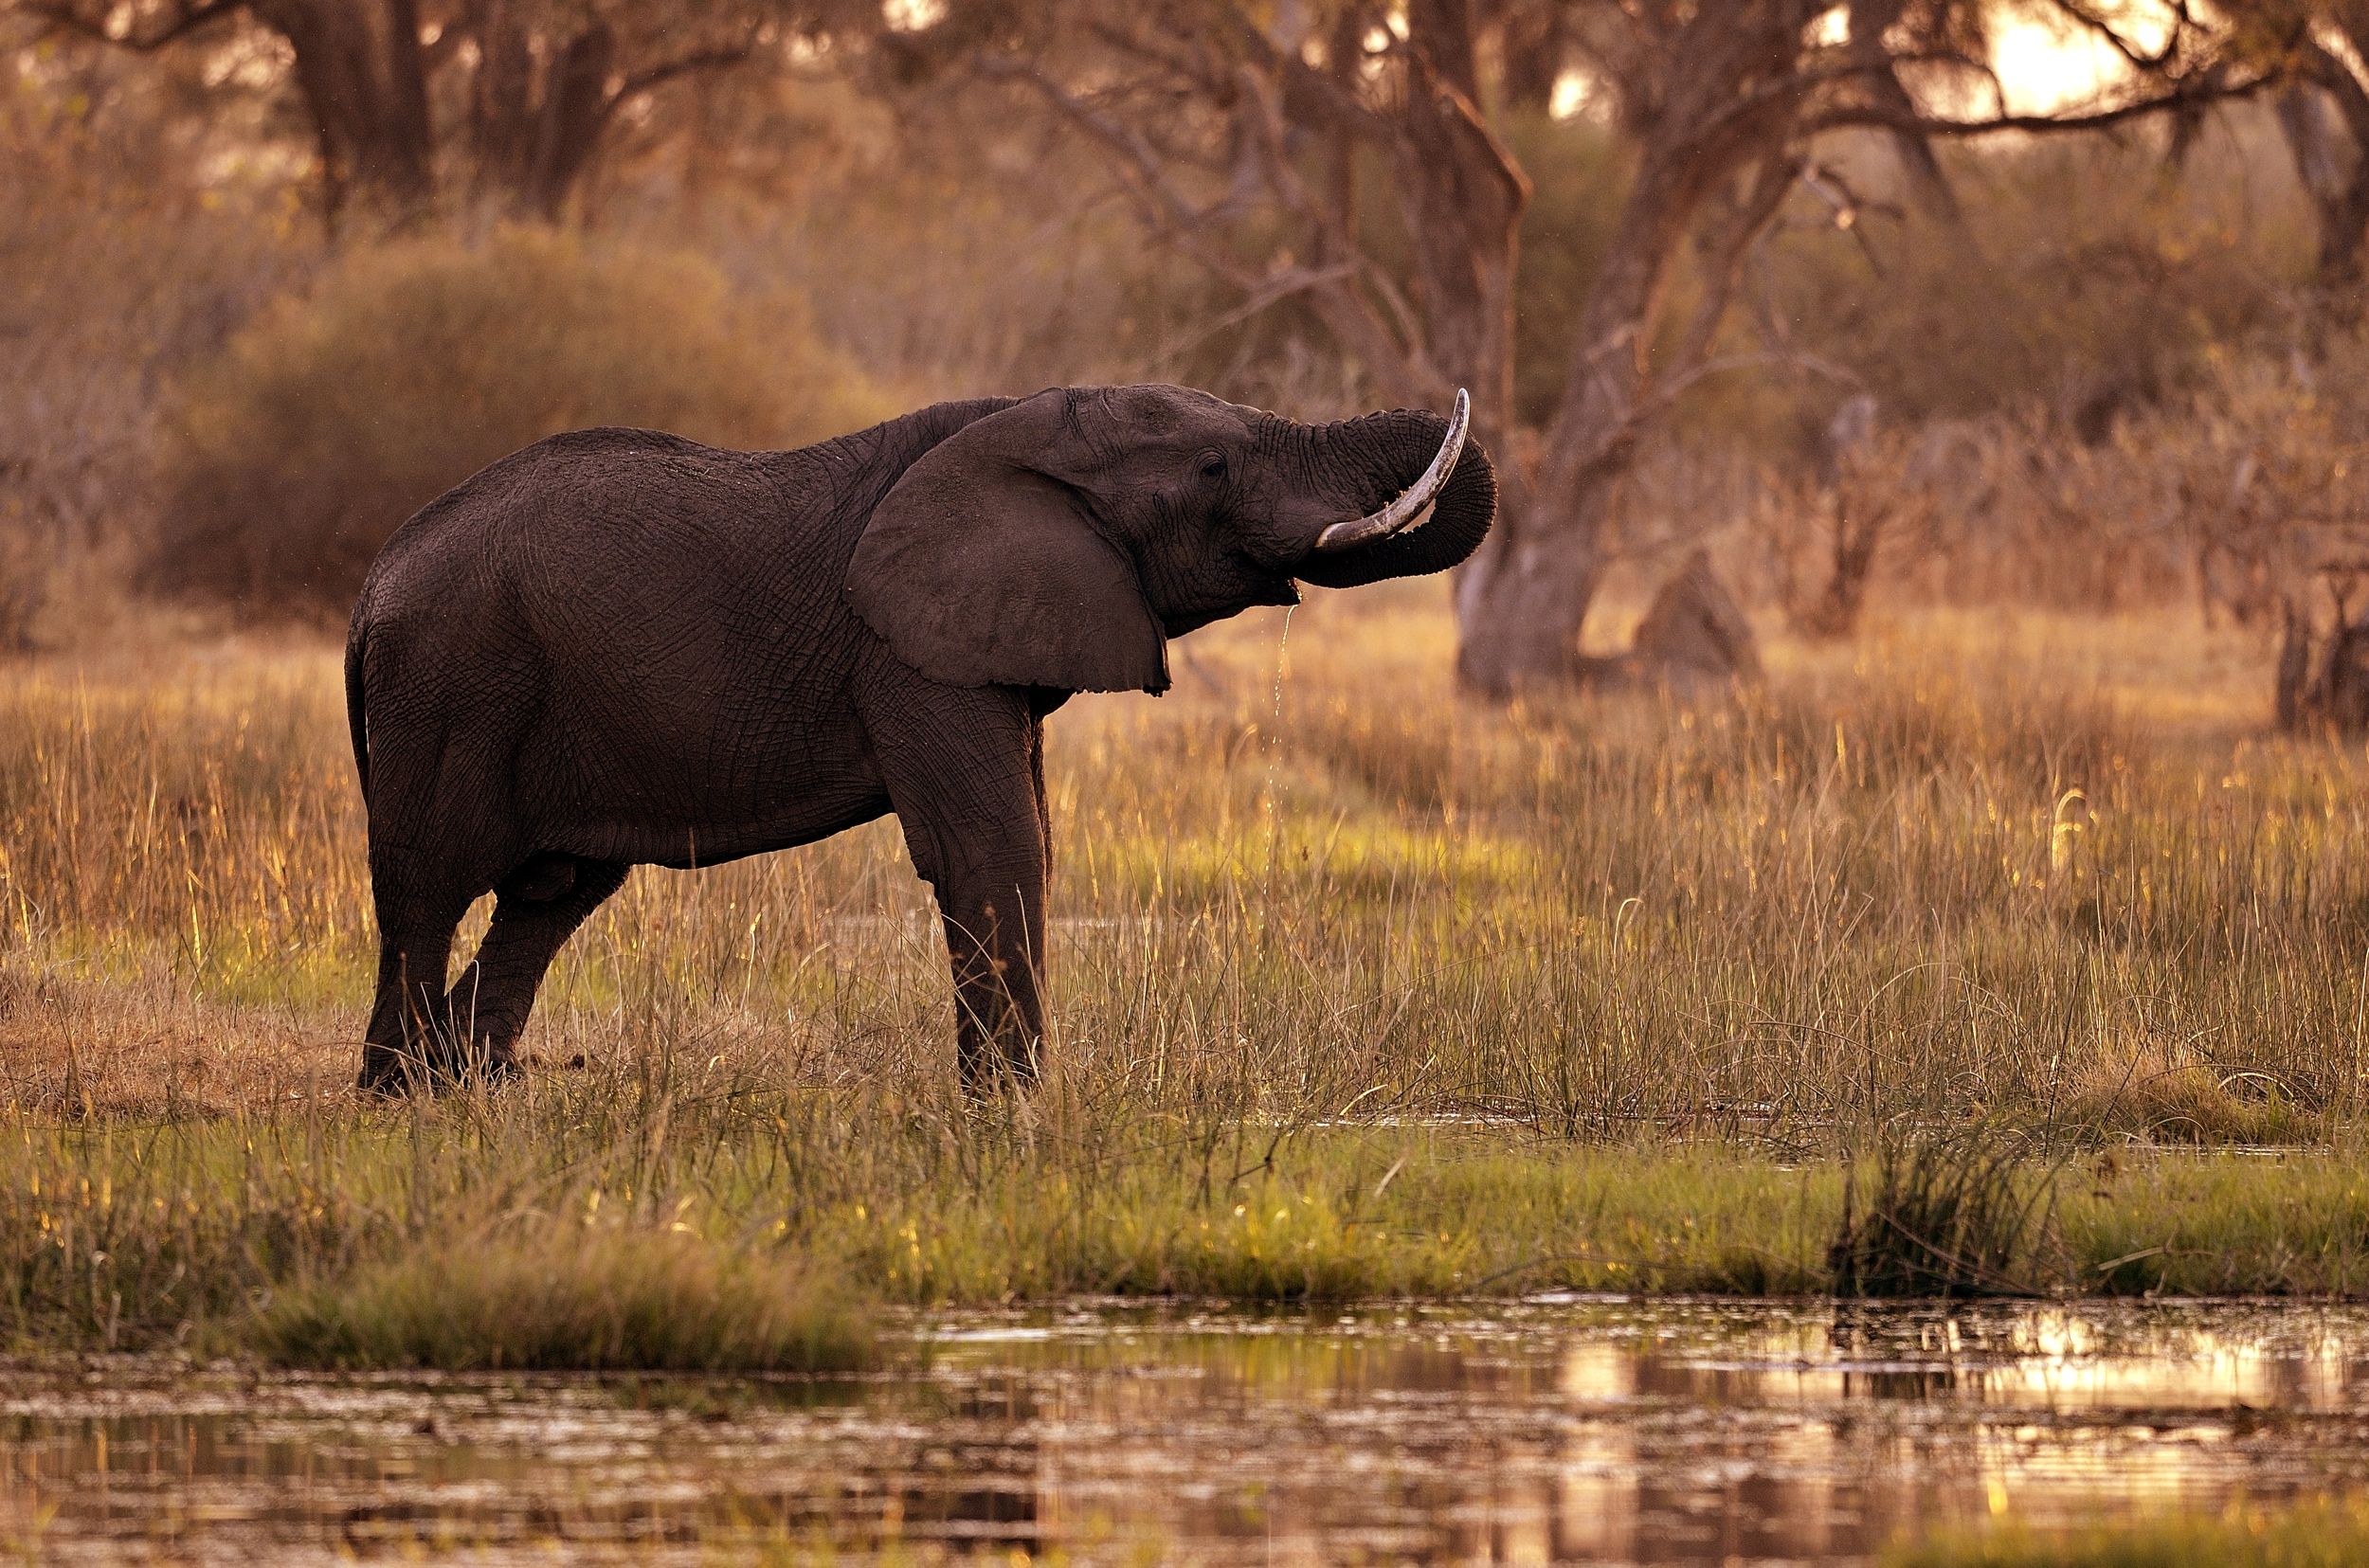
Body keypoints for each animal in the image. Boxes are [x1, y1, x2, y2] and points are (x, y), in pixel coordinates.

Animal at [344, 382, 1495, 1094]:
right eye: (1214, 466)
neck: (1020, 424)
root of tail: (373, 582)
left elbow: (1032, 840)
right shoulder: (910, 653)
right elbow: (993, 846)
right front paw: (1012, 1115)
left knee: (552, 897)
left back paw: (471, 1086)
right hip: (451, 684)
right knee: (428, 887)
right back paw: (398, 1096)